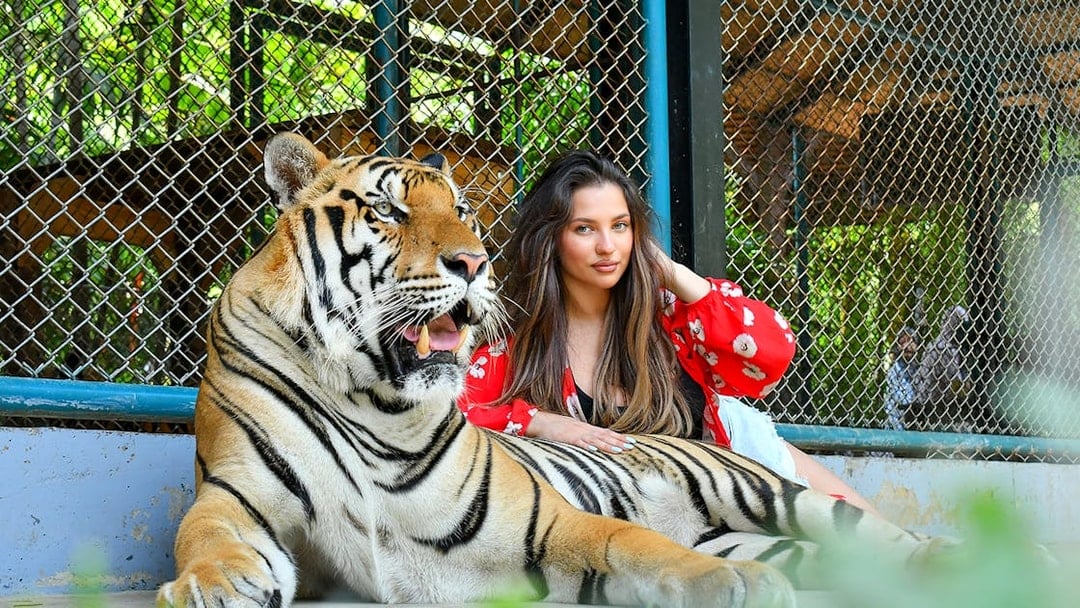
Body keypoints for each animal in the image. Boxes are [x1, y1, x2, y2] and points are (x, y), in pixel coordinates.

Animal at [157, 132, 945, 608]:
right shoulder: (238, 495)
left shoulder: (548, 523)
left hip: (778, 497)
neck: (370, 397)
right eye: (387, 210)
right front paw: (211, 586)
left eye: (465, 209)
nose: (474, 262)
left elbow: (633, 540)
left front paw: (725, 582)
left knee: (895, 540)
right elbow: (205, 539)